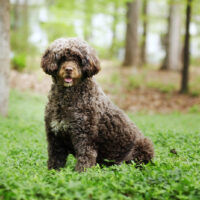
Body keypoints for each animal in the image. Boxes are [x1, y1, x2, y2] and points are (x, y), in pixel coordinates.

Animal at [40, 38, 153, 172]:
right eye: (62, 57)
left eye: (78, 58)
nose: (69, 69)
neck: (66, 97)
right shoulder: (55, 137)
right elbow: (55, 159)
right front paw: (52, 172)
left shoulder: (85, 137)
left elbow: (85, 159)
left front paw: (81, 173)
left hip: (144, 144)